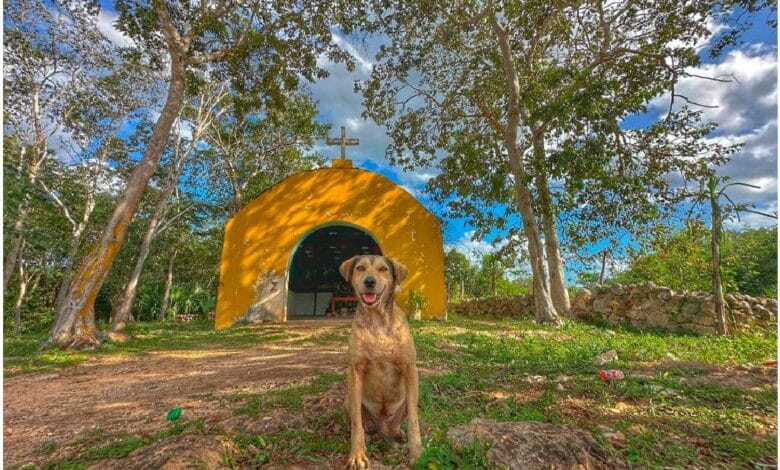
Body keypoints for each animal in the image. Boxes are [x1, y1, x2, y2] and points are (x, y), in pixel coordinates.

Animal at [340, 255, 424, 468]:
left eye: (383, 269)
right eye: (360, 268)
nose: (369, 281)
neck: (377, 319)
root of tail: (383, 427)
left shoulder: (410, 369)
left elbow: (414, 421)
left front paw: (416, 453)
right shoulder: (355, 370)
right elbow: (356, 423)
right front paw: (357, 454)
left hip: (410, 399)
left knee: (399, 423)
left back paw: (398, 434)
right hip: (347, 399)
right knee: (362, 424)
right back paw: (370, 435)